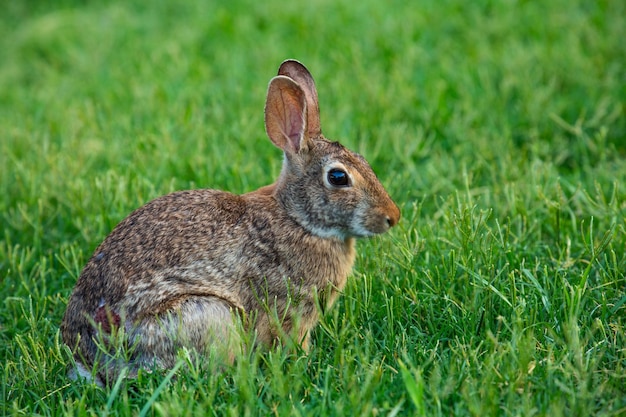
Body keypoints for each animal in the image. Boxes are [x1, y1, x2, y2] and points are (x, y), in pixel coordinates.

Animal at [59, 58, 400, 384]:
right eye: (338, 177)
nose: (392, 217)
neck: (298, 219)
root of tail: (86, 358)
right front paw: (304, 360)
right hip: (207, 314)